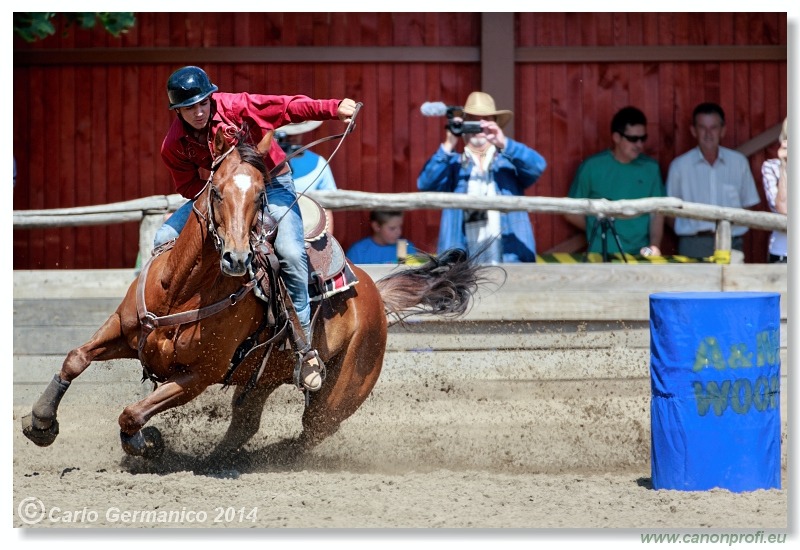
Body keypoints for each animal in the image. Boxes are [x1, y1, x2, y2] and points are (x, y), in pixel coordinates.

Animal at [21, 125, 496, 466]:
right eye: (216, 191)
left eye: (261, 195)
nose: (235, 257)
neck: (182, 292)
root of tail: (374, 296)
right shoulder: (123, 331)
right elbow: (75, 358)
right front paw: (40, 423)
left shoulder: (200, 375)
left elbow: (132, 413)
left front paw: (149, 444)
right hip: (260, 381)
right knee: (245, 425)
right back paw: (219, 459)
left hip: (341, 393)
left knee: (308, 434)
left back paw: (261, 456)